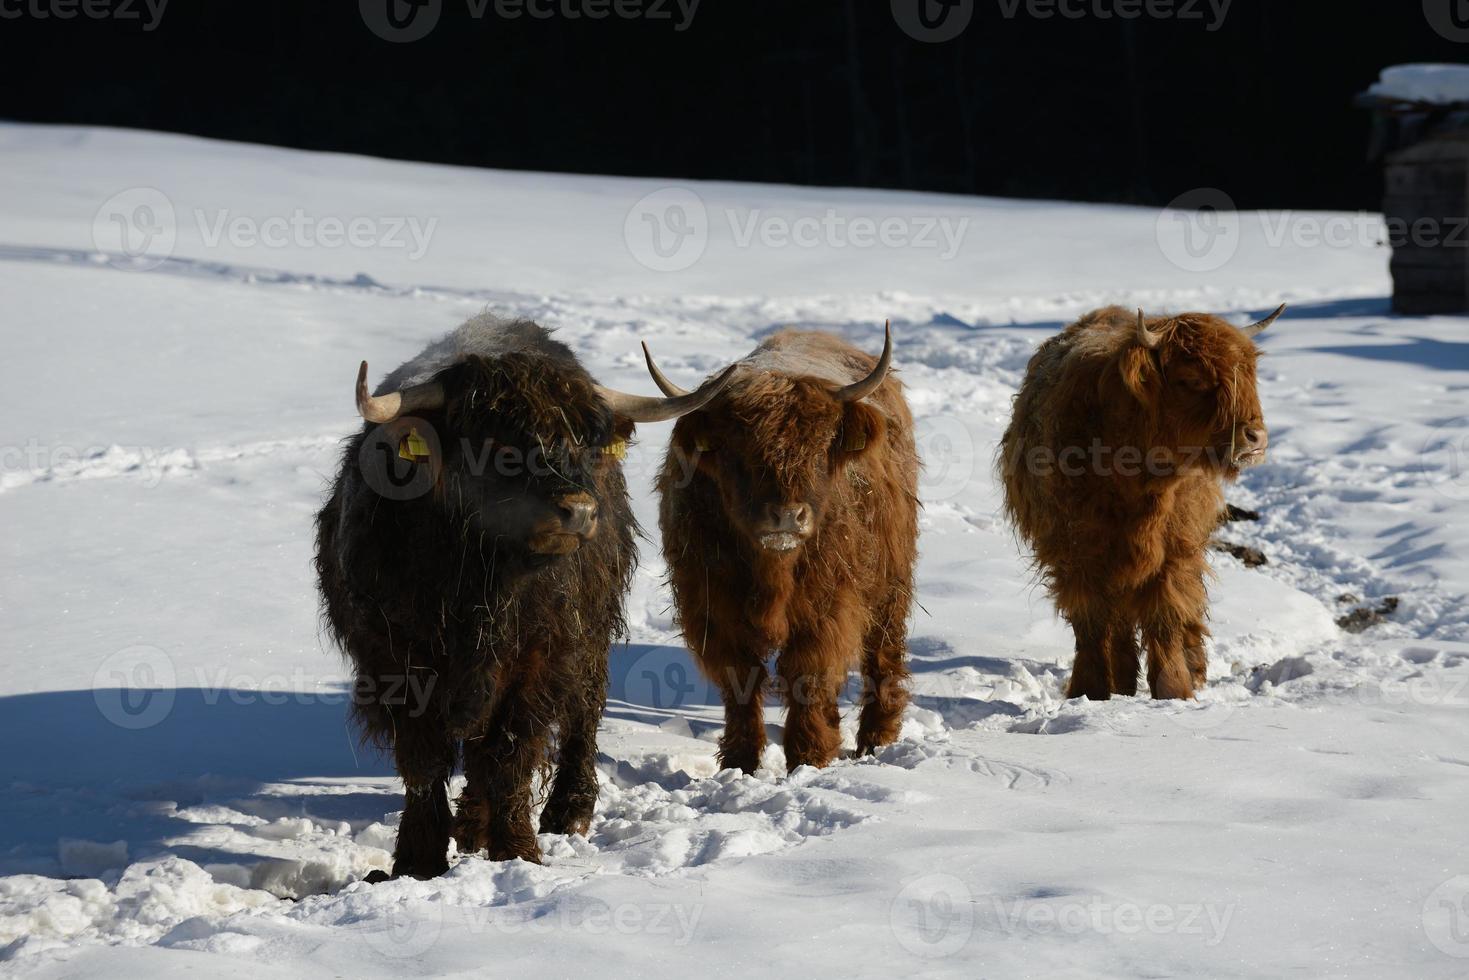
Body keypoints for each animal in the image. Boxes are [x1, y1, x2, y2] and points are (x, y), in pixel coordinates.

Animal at [320, 318, 734, 875]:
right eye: (497, 444)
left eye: (585, 442)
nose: (578, 510)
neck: (481, 583)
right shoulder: (393, 660)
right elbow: (424, 759)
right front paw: (418, 861)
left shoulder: (538, 659)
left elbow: (511, 752)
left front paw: (517, 852)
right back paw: (470, 826)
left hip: (590, 632)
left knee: (583, 709)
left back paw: (567, 811)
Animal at [655, 327, 916, 775]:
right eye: (736, 449)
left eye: (821, 446)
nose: (787, 516)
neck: (772, 571)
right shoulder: (713, 608)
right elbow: (741, 679)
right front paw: (740, 762)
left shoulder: (828, 608)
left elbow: (807, 674)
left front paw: (808, 758)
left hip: (890, 581)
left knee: (881, 653)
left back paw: (875, 740)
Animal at [998, 302, 1286, 702]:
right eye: (1191, 380)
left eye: (1247, 375)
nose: (1255, 437)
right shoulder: (1075, 551)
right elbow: (1090, 621)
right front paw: (1090, 690)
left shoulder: (1175, 552)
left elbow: (1165, 616)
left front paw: (1174, 691)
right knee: (1117, 620)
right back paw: (1122, 681)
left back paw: (1189, 669)